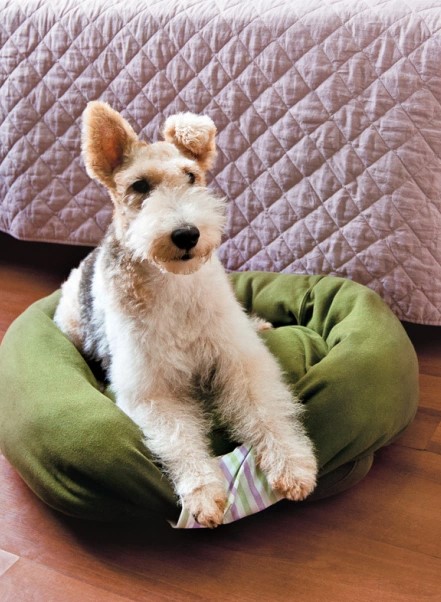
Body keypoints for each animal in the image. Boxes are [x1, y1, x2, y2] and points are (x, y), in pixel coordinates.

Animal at [55, 101, 316, 524]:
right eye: (139, 186)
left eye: (192, 176)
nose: (186, 234)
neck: (173, 285)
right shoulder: (153, 390)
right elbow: (179, 436)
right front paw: (204, 493)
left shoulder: (239, 362)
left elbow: (266, 411)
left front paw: (292, 467)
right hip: (73, 323)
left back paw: (260, 324)